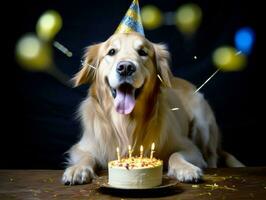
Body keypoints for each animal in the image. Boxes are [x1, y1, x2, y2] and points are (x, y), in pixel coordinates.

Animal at [61, 32, 243, 184]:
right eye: (111, 52)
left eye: (142, 52)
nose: (125, 67)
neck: (126, 122)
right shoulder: (81, 147)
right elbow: (86, 157)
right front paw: (77, 169)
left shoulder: (190, 148)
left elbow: (175, 155)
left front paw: (186, 169)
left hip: (203, 122)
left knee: (212, 156)